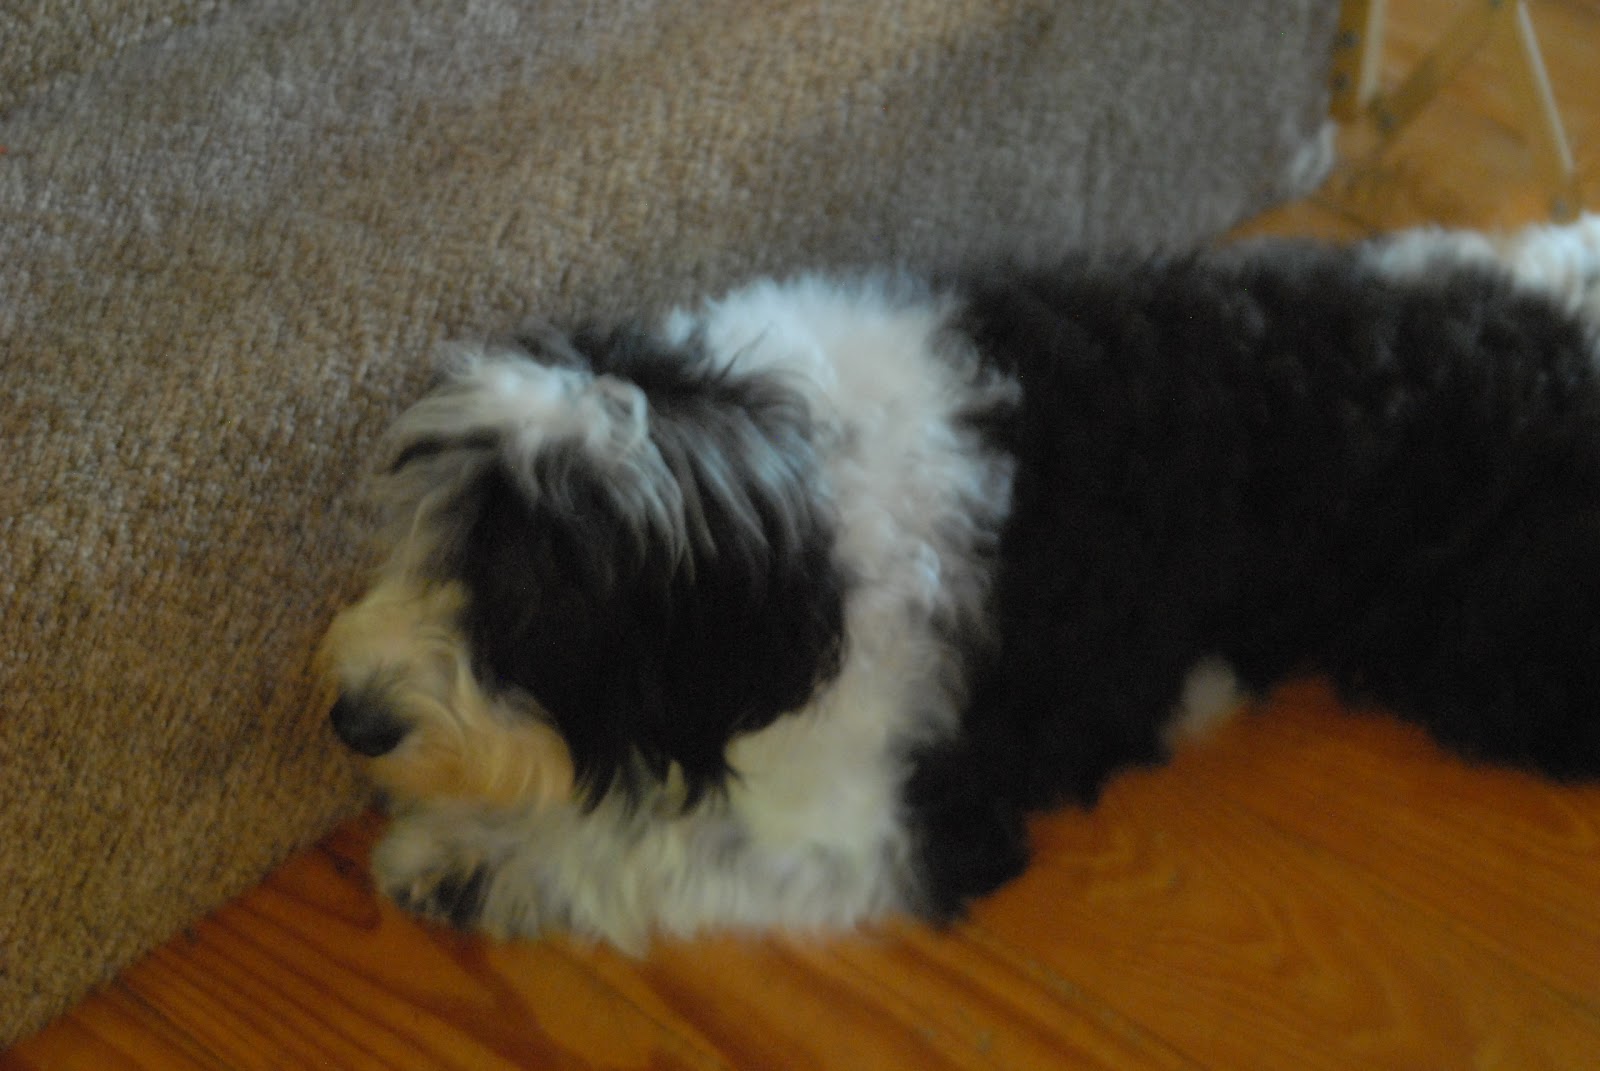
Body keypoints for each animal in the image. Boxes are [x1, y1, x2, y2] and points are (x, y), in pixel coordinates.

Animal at [321, 216, 1600, 948]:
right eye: (418, 537)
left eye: (537, 595)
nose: (352, 719)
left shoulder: (894, 827)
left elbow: (653, 848)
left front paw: (466, 858)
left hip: (1495, 664)